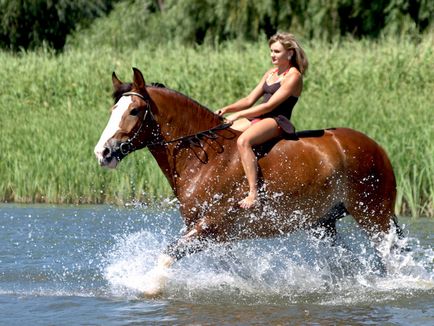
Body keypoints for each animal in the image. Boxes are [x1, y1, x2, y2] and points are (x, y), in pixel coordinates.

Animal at [93, 67, 402, 294]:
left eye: (134, 111)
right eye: (112, 110)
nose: (103, 152)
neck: (204, 158)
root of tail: (376, 147)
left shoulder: (209, 226)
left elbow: (166, 255)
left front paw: (149, 288)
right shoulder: (215, 237)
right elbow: (235, 269)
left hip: (373, 215)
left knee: (390, 255)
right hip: (323, 224)